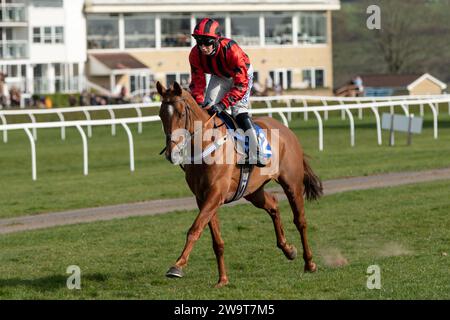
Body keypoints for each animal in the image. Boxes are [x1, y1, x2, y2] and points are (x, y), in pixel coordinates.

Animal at [156, 80, 322, 288]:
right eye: (161, 114)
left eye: (180, 113)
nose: (172, 154)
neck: (206, 146)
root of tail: (285, 129)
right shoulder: (203, 198)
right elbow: (216, 241)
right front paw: (222, 280)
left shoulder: (216, 194)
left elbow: (195, 229)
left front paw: (177, 266)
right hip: (253, 191)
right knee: (273, 204)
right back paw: (288, 249)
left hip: (292, 184)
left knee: (300, 221)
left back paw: (310, 263)